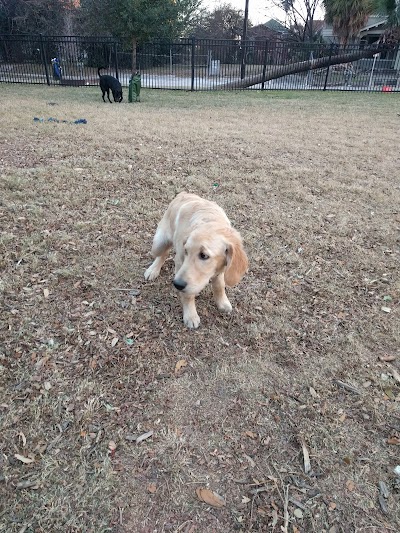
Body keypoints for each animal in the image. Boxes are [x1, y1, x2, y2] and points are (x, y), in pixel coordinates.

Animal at [145, 191, 248, 328]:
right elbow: (188, 294)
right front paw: (191, 315)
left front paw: (222, 302)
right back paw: (153, 270)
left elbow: (219, 285)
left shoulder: (222, 268)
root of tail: (184, 193)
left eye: (204, 255)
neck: (211, 222)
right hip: (159, 243)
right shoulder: (180, 262)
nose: (176, 284)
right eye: (186, 251)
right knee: (162, 253)